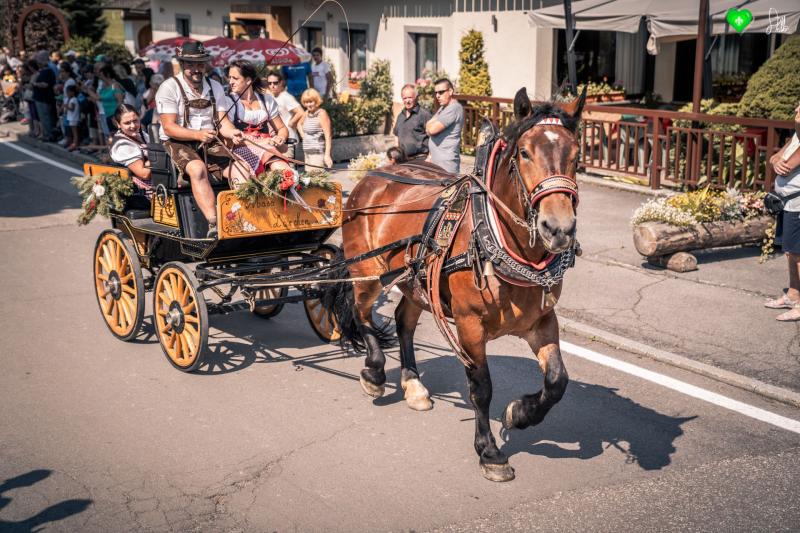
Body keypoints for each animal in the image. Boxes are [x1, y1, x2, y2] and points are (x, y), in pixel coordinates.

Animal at [326, 89, 588, 480]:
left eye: (575, 154)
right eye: (525, 153)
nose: (558, 229)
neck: (501, 243)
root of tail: (373, 176)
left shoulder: (541, 321)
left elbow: (557, 381)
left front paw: (520, 414)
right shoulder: (469, 325)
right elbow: (482, 388)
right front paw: (490, 451)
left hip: (416, 281)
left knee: (403, 321)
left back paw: (413, 384)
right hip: (368, 272)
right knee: (362, 314)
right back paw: (373, 372)